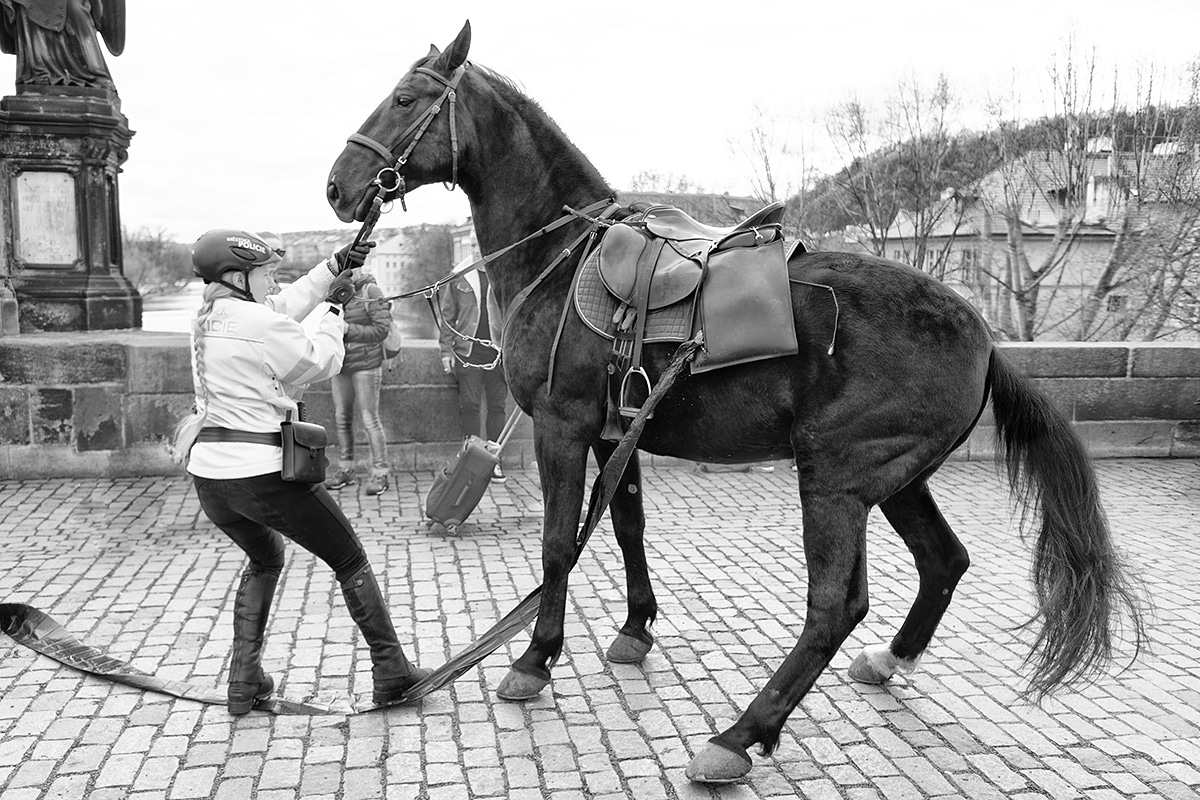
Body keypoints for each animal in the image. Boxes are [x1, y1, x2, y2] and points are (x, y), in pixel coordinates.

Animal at [326, 21, 1145, 783]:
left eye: (407, 99)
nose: (337, 185)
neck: (564, 256)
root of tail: (980, 333)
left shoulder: (563, 428)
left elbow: (560, 543)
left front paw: (535, 657)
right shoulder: (615, 431)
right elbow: (626, 526)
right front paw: (636, 628)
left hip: (836, 477)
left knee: (836, 605)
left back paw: (742, 733)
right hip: (898, 479)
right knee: (944, 561)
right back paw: (888, 662)